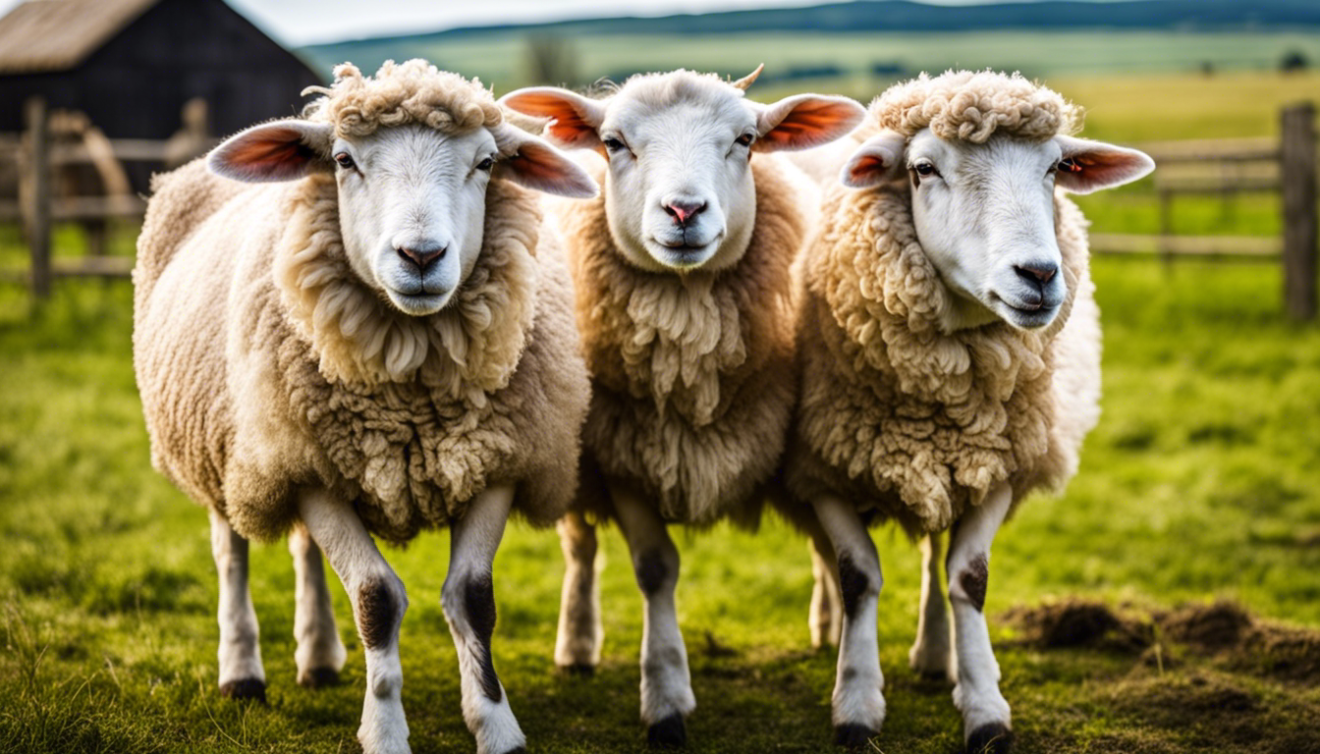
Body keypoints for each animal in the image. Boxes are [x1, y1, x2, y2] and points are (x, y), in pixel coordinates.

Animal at [132, 59, 597, 754]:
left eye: (487, 162)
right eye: (344, 160)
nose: (422, 257)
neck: (411, 396)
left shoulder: (495, 463)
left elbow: (472, 599)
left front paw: (495, 724)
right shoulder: (310, 474)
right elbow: (376, 598)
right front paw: (384, 730)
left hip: (292, 453)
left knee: (303, 553)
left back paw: (320, 657)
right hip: (237, 448)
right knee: (231, 552)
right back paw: (241, 671)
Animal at [499, 65, 865, 745]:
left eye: (746, 139)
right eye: (613, 142)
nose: (684, 210)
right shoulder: (622, 457)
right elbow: (655, 570)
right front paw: (666, 696)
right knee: (580, 549)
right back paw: (577, 645)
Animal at [783, 70, 1154, 752]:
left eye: (1055, 168)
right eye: (923, 169)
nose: (1038, 274)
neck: (944, 395)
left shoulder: (1001, 463)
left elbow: (967, 578)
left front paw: (983, 705)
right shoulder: (821, 466)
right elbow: (856, 575)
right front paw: (856, 701)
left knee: (934, 553)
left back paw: (935, 656)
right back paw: (833, 629)